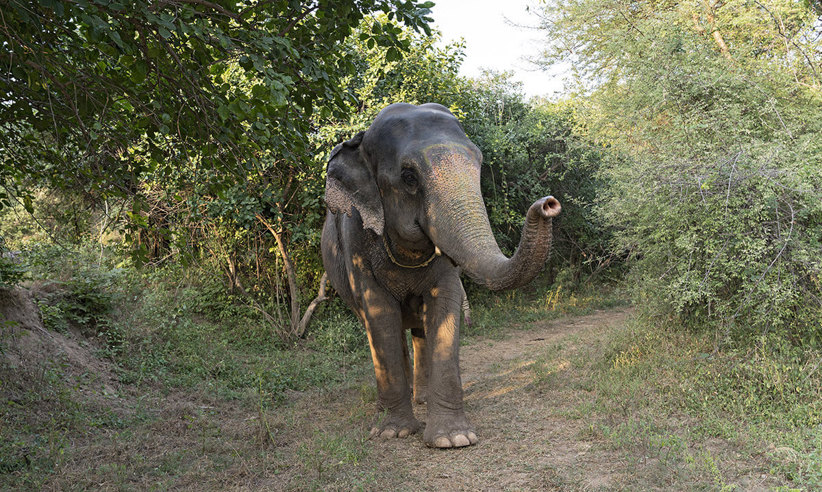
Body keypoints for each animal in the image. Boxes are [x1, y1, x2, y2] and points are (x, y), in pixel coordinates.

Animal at [321, 102, 561, 448]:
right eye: (408, 176)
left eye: (479, 163)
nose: (548, 203)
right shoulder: (355, 241)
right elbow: (380, 314)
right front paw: (393, 432)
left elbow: (444, 304)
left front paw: (454, 439)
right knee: (378, 327)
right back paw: (390, 408)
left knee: (419, 329)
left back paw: (420, 399)